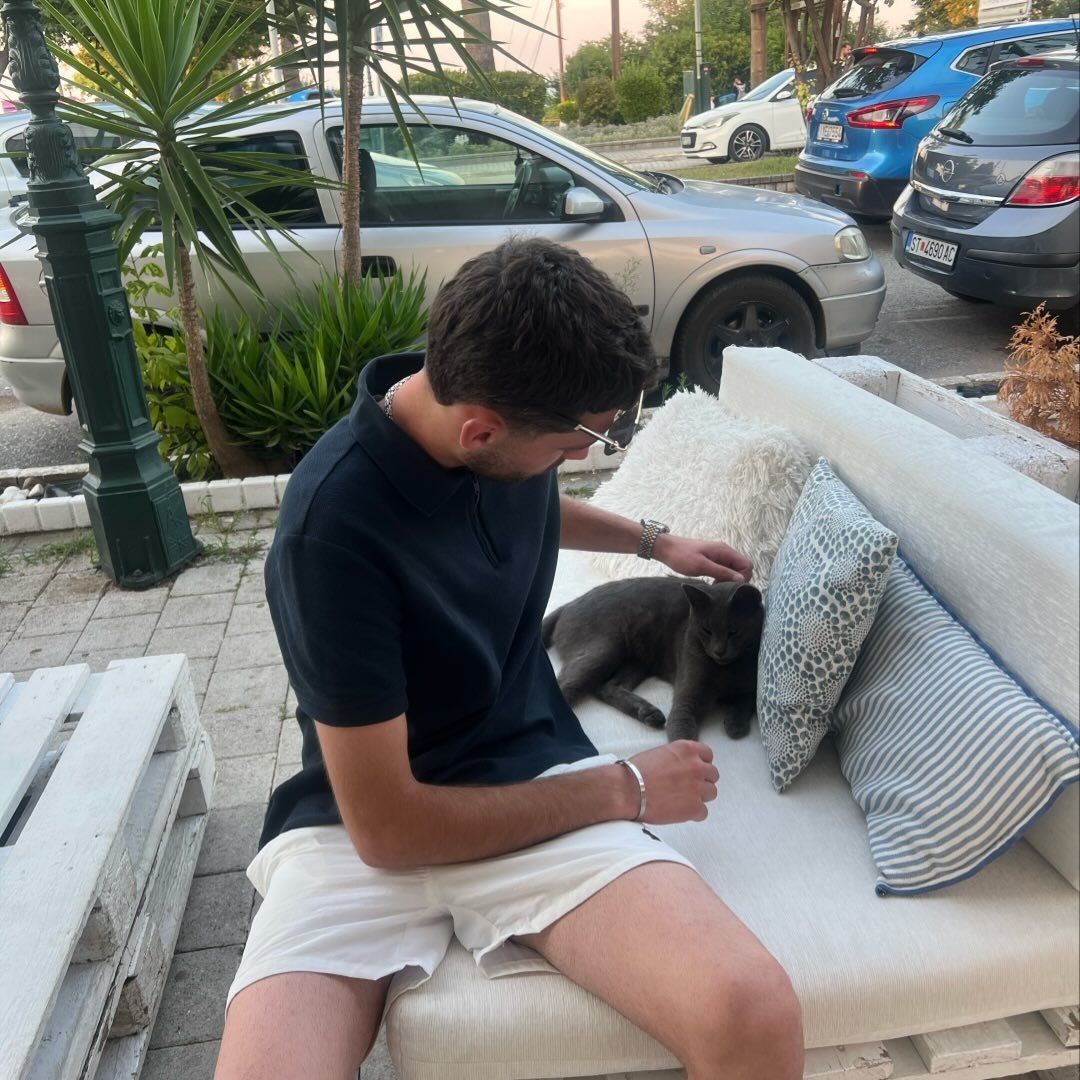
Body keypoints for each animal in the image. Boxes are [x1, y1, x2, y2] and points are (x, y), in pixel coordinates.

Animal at [542, 576, 764, 743]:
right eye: (706, 630)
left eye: (734, 632)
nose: (719, 651)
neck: (727, 670)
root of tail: (570, 604)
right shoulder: (687, 697)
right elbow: (682, 731)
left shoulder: (750, 682)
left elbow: (748, 698)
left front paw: (736, 723)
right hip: (603, 649)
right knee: (566, 685)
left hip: (637, 660)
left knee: (606, 686)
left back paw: (649, 713)